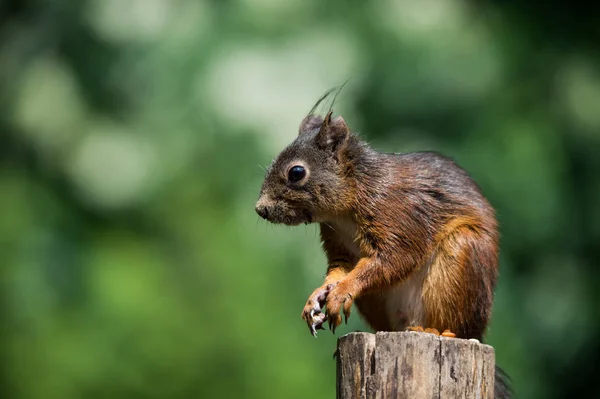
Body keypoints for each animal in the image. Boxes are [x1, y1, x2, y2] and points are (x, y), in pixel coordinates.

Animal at [255, 97, 512, 399]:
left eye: (296, 172)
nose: (260, 209)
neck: (344, 208)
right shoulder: (338, 244)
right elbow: (338, 268)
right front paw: (317, 296)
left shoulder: (398, 215)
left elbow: (396, 258)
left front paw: (341, 291)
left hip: (462, 259)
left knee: (459, 326)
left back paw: (436, 331)